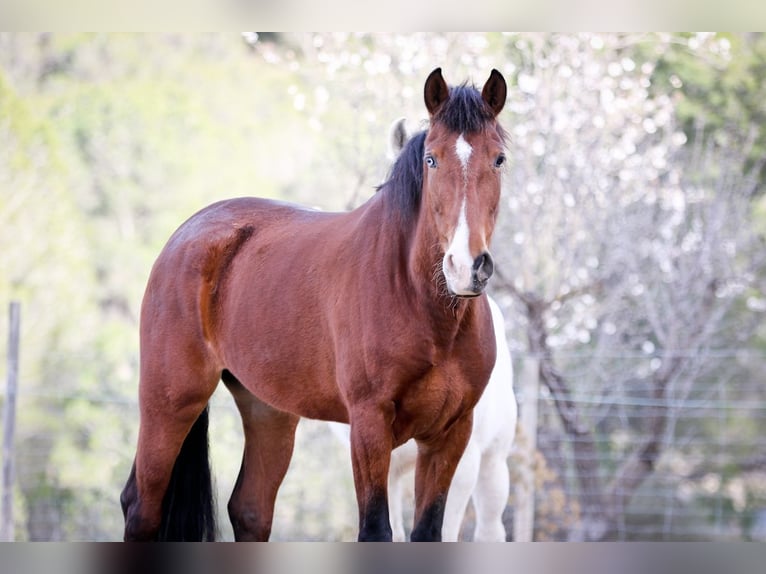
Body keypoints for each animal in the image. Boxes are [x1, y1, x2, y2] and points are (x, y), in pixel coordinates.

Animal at [120, 68, 510, 544]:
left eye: (499, 159)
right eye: (432, 159)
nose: (466, 266)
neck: (424, 307)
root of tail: (186, 234)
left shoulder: (451, 434)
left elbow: (428, 532)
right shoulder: (369, 425)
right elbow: (376, 530)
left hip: (267, 411)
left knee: (250, 510)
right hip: (170, 402)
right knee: (142, 506)